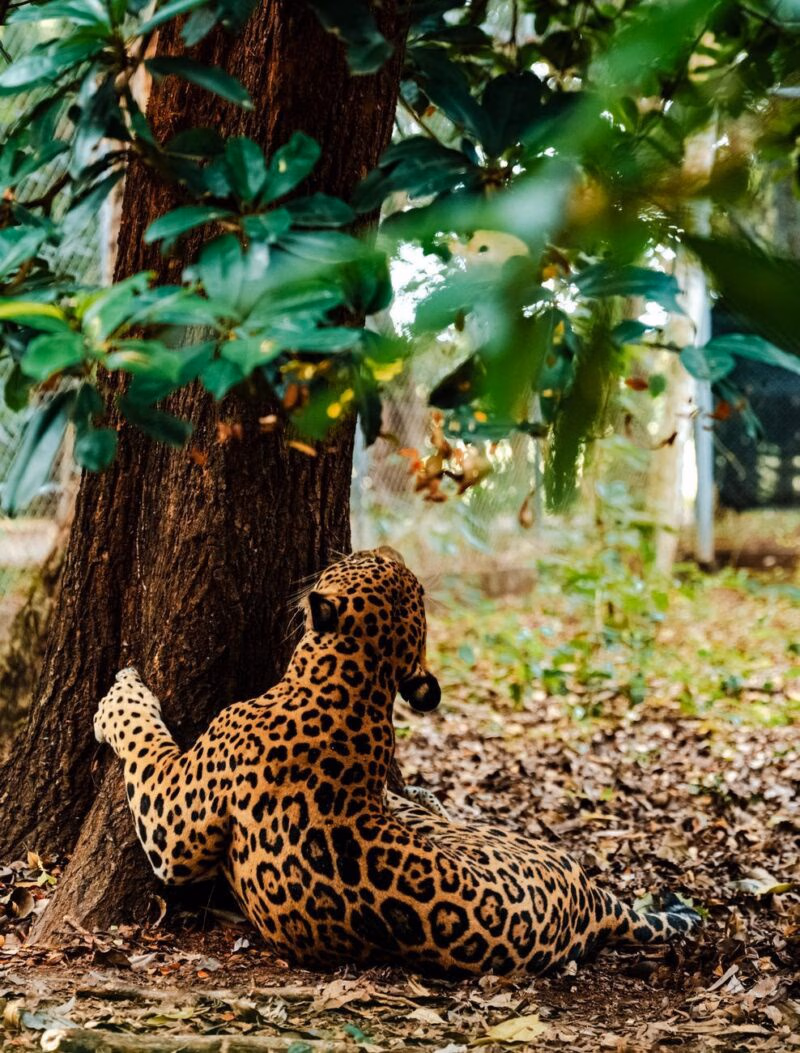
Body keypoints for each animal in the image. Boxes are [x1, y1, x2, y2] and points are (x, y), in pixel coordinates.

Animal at [95, 546, 700, 978]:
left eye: (363, 561)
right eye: (393, 568)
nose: (386, 546)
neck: (357, 684)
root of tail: (591, 903)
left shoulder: (175, 826)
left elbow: (145, 743)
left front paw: (119, 695)